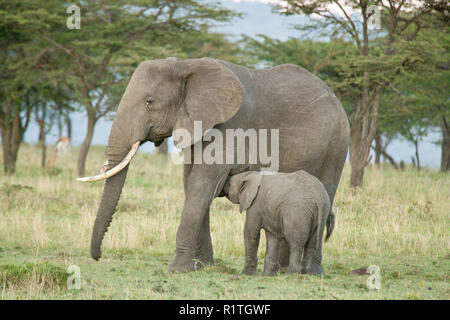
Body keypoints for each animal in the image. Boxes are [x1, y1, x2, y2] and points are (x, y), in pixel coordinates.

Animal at [79, 57, 350, 272]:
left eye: (149, 102)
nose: (98, 256)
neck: (186, 66)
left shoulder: (231, 125)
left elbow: (202, 184)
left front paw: (177, 270)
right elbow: (191, 184)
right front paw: (203, 266)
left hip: (336, 145)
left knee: (326, 192)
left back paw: (305, 271)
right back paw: (283, 270)